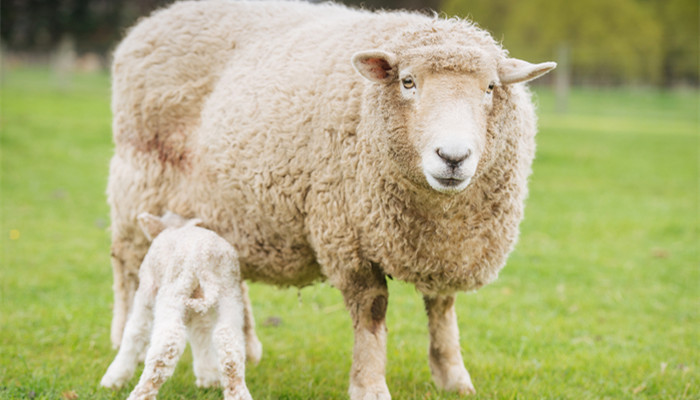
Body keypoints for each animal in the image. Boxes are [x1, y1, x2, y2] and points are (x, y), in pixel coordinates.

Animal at [98, 212, 252, 400]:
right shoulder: (199, 309)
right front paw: (209, 378)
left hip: (173, 290)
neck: (175, 227)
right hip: (229, 296)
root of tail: (204, 261)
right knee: (229, 343)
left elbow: (135, 331)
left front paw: (114, 378)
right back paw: (238, 393)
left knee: (166, 344)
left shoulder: (147, 289)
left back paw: (140, 393)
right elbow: (201, 334)